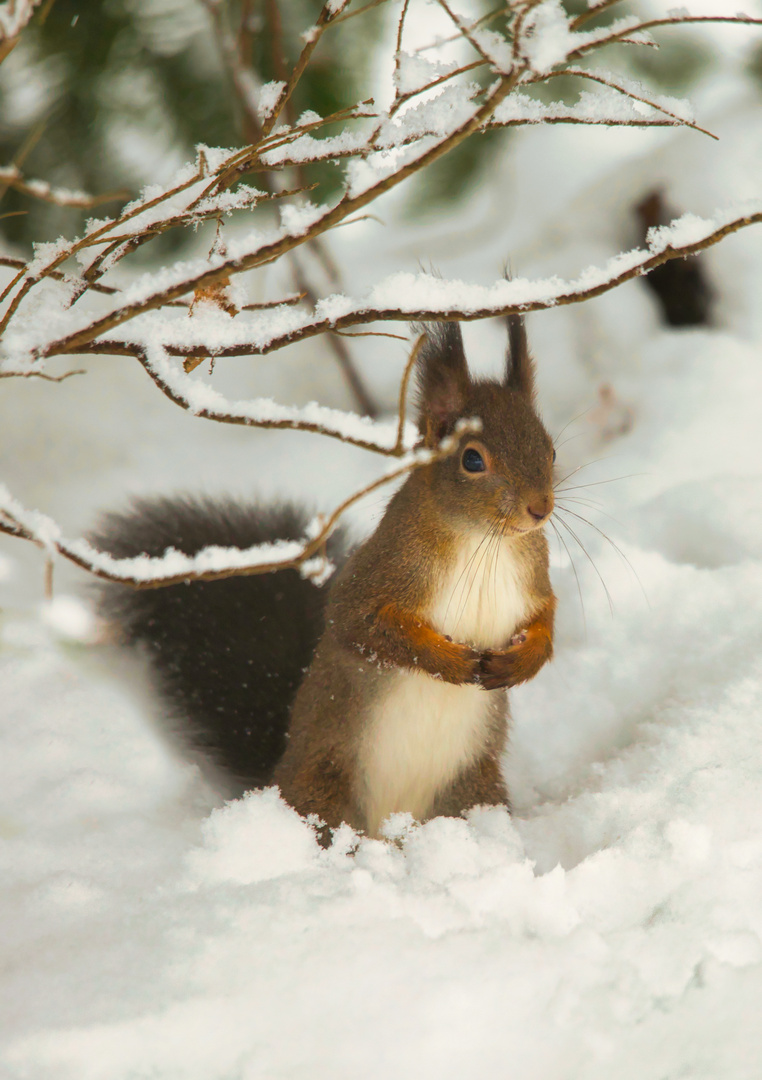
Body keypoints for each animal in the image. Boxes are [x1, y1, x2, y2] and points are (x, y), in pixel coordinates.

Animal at [91, 317, 556, 842]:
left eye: (550, 448)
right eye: (472, 460)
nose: (540, 508)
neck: (484, 543)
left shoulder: (533, 577)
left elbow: (546, 618)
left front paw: (524, 661)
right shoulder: (382, 573)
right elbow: (363, 626)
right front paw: (451, 662)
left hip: (472, 790)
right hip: (327, 791)